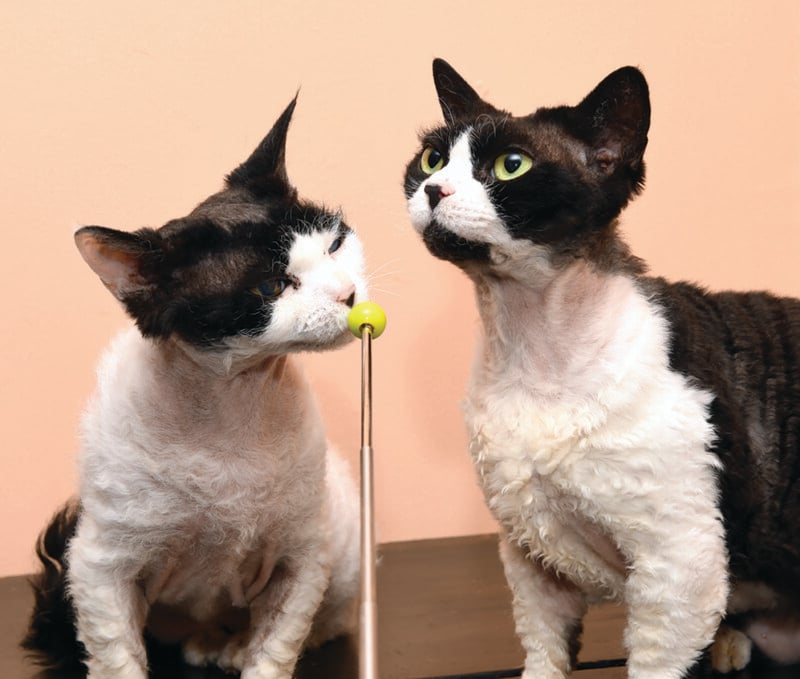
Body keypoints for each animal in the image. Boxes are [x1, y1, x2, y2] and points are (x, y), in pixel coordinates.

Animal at [23, 97, 364, 679]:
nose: (349, 293)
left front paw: (253, 654)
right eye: (271, 287)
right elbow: (118, 660)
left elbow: (276, 652)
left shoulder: (301, 560)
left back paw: (228, 646)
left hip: (341, 557)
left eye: (336, 244)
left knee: (325, 624)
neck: (231, 407)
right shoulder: (99, 567)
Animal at [406, 59, 800, 679]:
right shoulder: (530, 553)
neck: (533, 354)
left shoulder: (678, 563)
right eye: (431, 158)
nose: (433, 189)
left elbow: (653, 661)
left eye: (511, 165)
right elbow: (544, 651)